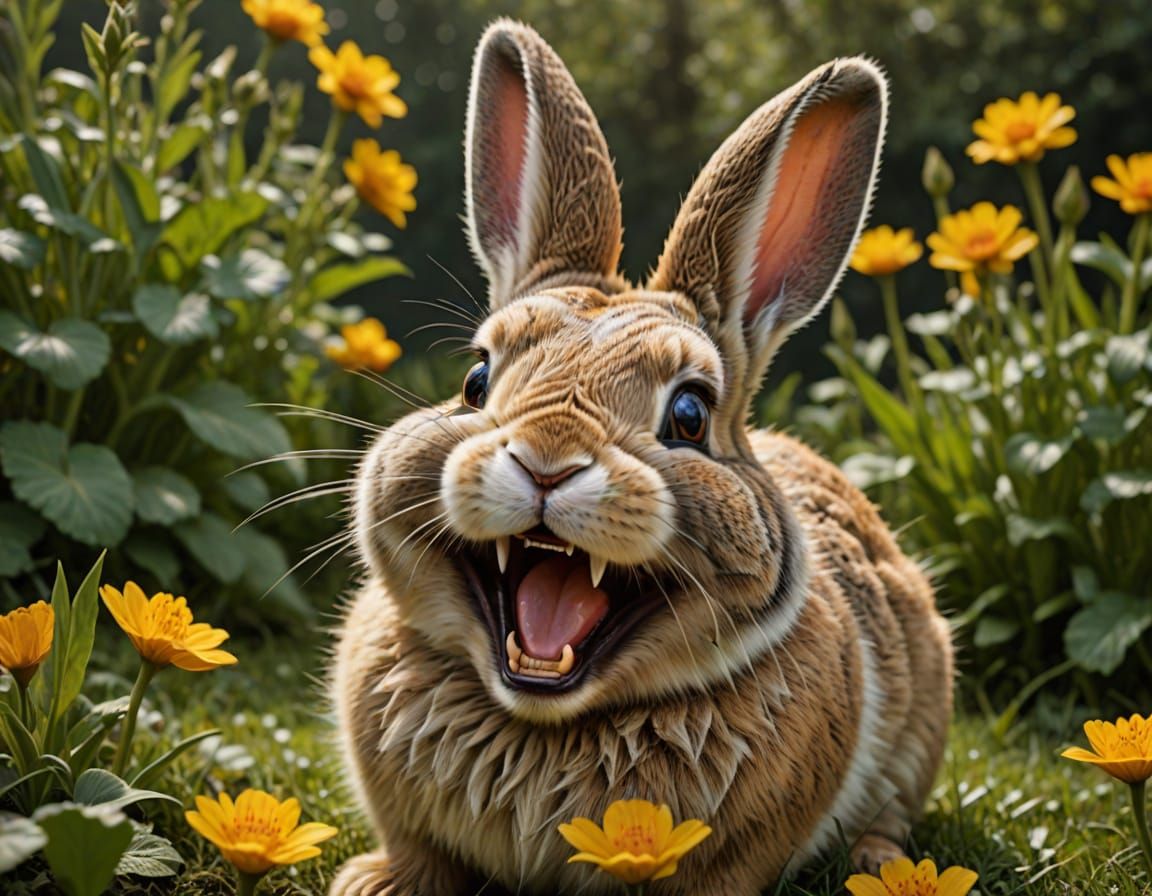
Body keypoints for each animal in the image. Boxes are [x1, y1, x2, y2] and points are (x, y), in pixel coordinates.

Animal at [329, 18, 953, 896]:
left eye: (689, 415)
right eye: (476, 380)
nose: (547, 462)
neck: (542, 718)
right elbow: (418, 851)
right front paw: (376, 881)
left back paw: (880, 862)